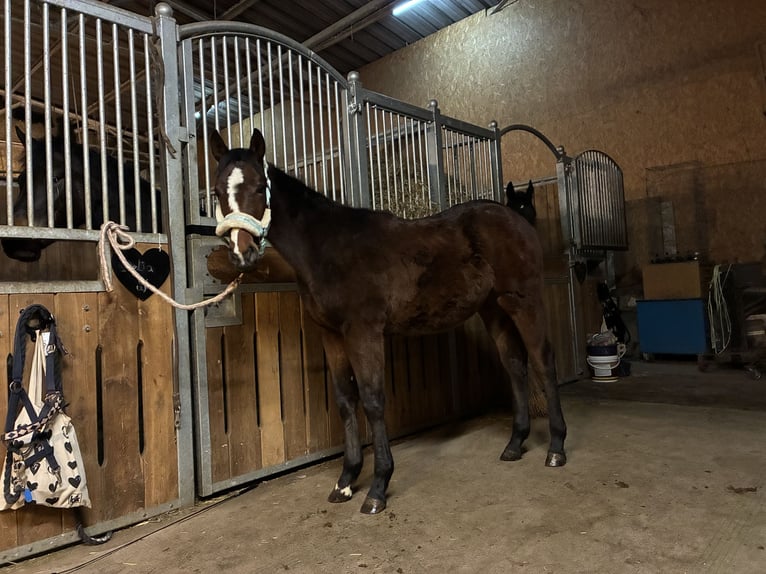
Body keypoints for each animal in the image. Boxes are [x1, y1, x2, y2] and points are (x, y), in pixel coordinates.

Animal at [208, 127, 567, 514]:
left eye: (261, 187)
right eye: (217, 191)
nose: (242, 254)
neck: (329, 248)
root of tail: (517, 219)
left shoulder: (363, 332)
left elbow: (373, 400)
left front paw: (378, 487)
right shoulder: (332, 335)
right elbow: (346, 401)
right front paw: (345, 482)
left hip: (524, 301)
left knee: (544, 361)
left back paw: (556, 448)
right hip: (493, 308)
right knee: (515, 364)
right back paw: (515, 444)